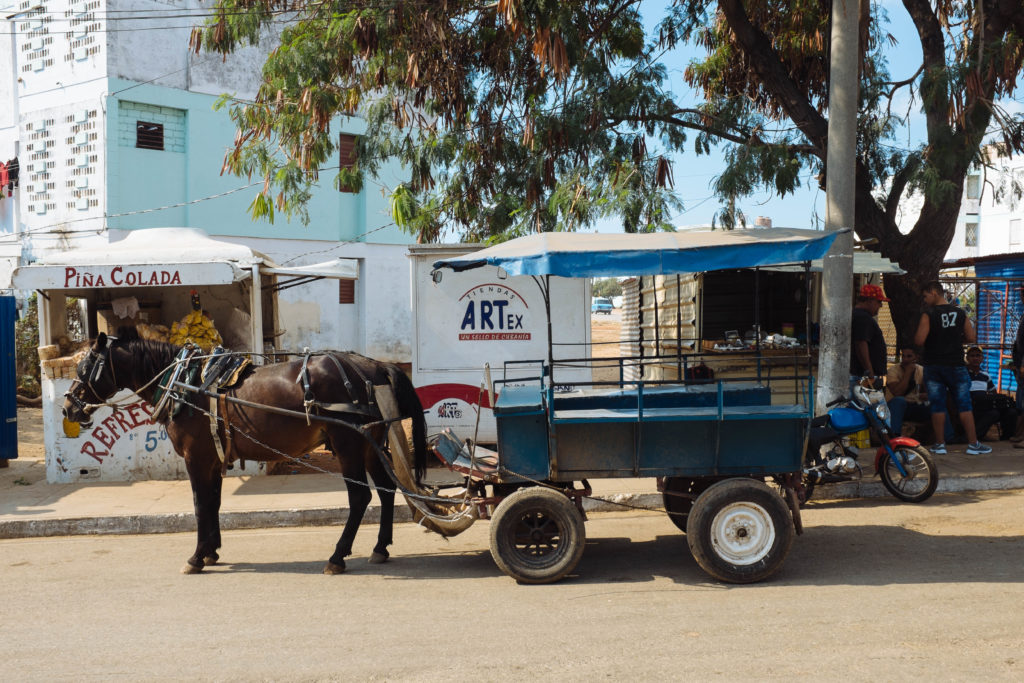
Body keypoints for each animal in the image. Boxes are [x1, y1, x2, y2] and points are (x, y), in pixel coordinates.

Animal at [59, 327, 428, 573]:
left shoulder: (196, 458)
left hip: (349, 444)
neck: (185, 384)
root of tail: (372, 366)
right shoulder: (212, 459)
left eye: (84, 368)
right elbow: (214, 503)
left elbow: (200, 505)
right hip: (370, 444)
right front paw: (211, 552)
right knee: (386, 490)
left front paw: (196, 557)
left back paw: (337, 557)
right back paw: (380, 548)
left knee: (360, 497)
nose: (68, 407)